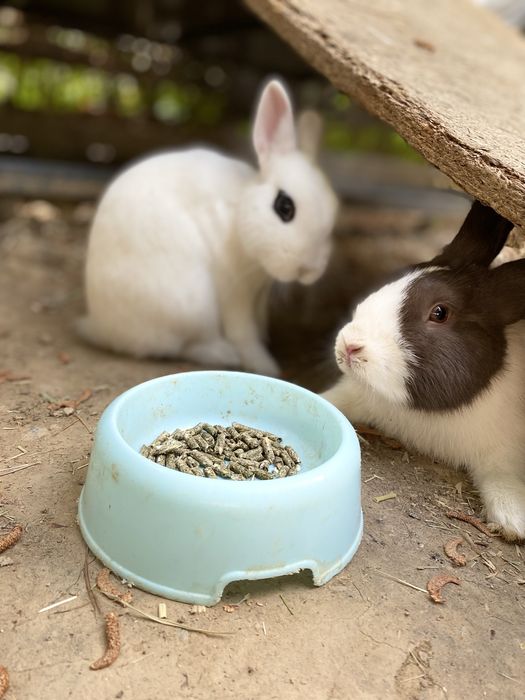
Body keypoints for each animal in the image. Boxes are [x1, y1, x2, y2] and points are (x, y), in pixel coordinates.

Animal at [77, 79, 338, 377]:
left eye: (333, 209)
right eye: (285, 207)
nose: (310, 270)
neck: (238, 215)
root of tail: (101, 326)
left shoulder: (258, 295)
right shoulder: (234, 291)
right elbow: (243, 332)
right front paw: (265, 366)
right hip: (191, 304)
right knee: (180, 346)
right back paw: (223, 354)